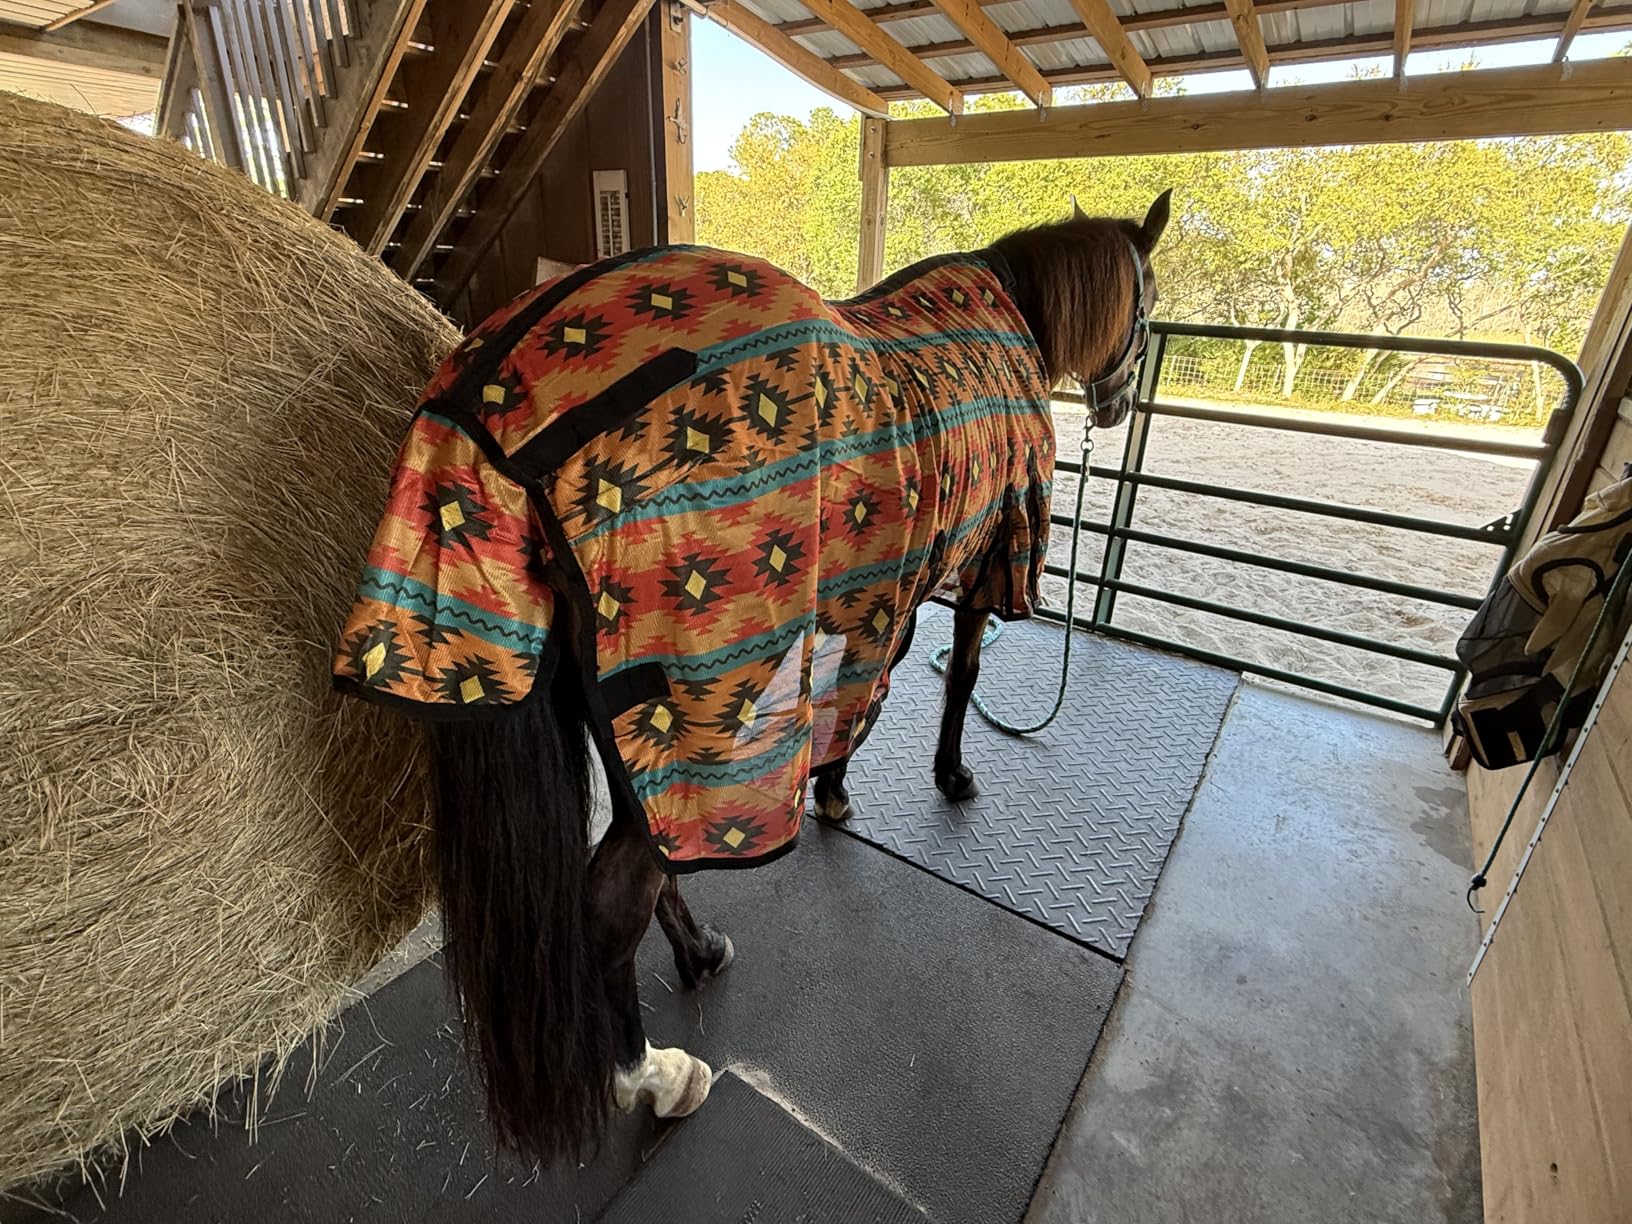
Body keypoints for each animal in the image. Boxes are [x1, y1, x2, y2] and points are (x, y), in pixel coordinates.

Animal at [332, 191, 1171, 1164]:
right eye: (1149, 303)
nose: (1119, 402)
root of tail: (487, 401)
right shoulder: (984, 559)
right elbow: (952, 677)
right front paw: (942, 778)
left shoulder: (886, 585)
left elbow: (866, 687)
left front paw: (837, 790)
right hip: (684, 708)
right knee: (613, 905)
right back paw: (652, 1078)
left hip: (620, 714)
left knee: (659, 859)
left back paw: (700, 957)